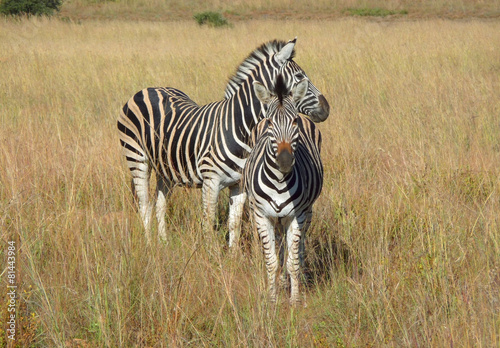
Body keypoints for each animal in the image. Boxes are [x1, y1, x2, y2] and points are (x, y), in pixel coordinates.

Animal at [116, 37, 328, 245]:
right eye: (299, 76)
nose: (326, 108)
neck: (240, 128)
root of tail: (148, 88)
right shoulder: (211, 182)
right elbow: (208, 223)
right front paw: (210, 253)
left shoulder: (239, 185)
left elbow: (234, 224)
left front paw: (232, 254)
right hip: (137, 158)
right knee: (145, 204)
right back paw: (150, 245)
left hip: (165, 167)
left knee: (160, 203)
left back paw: (163, 242)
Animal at [243, 74, 324, 304]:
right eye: (271, 122)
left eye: (294, 121)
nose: (285, 161)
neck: (279, 181)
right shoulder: (262, 215)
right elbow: (272, 260)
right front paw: (272, 299)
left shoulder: (297, 215)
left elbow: (293, 261)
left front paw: (295, 300)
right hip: (271, 216)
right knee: (279, 247)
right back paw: (280, 282)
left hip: (308, 210)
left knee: (299, 246)